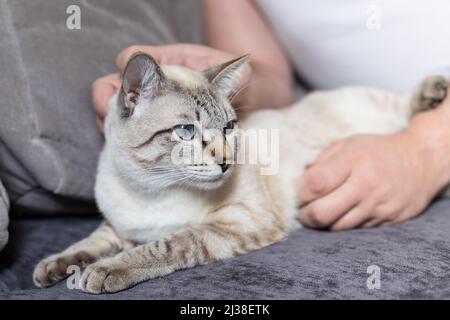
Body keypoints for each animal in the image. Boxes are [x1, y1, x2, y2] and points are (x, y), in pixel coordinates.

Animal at [33, 52, 448, 292]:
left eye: (230, 128)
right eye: (186, 131)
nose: (226, 161)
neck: (151, 189)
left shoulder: (238, 221)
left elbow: (164, 245)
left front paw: (102, 272)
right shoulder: (119, 225)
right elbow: (89, 243)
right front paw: (54, 268)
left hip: (372, 104)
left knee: (405, 109)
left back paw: (433, 91)